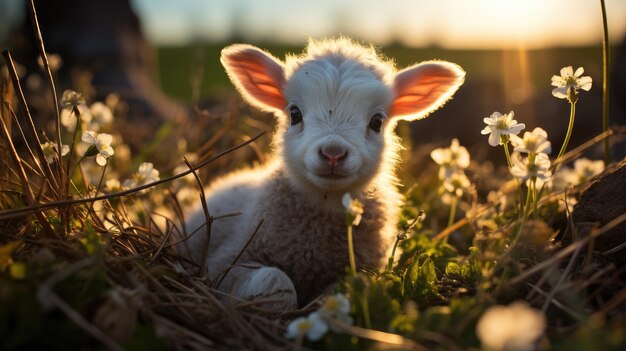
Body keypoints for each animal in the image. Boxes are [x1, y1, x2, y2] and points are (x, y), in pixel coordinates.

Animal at [180, 37, 464, 310]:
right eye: (294, 114)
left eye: (377, 122)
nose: (333, 153)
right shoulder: (225, 261)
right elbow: (275, 281)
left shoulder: (366, 269)